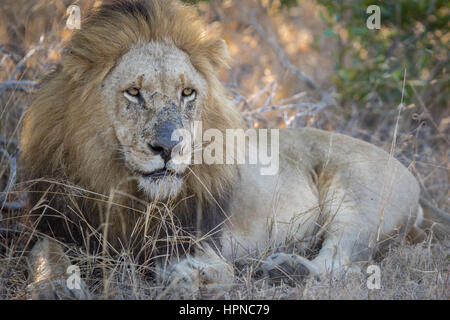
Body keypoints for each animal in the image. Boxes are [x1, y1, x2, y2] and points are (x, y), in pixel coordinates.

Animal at [18, 0, 446, 298]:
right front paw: (55, 287)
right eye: (134, 92)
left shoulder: (199, 239)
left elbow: (218, 271)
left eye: (187, 93)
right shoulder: (56, 225)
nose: (169, 147)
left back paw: (285, 270)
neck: (123, 191)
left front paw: (188, 278)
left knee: (344, 263)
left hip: (361, 203)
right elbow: (44, 259)